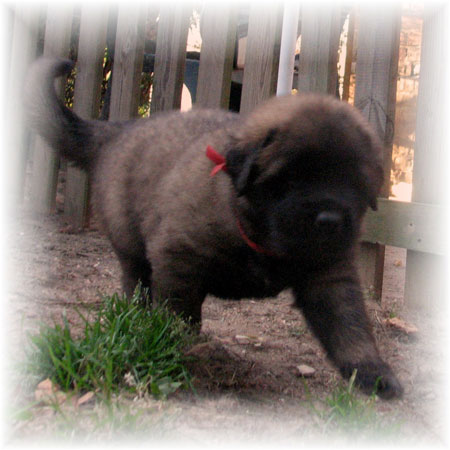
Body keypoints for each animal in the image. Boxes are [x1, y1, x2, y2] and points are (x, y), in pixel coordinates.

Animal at [24, 58, 402, 400]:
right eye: (290, 179)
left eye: (353, 182)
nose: (329, 221)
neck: (257, 235)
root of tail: (117, 130)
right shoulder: (179, 259)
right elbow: (179, 316)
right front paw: (178, 352)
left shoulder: (329, 275)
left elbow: (350, 327)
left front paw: (373, 372)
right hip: (131, 246)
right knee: (137, 286)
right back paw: (139, 323)